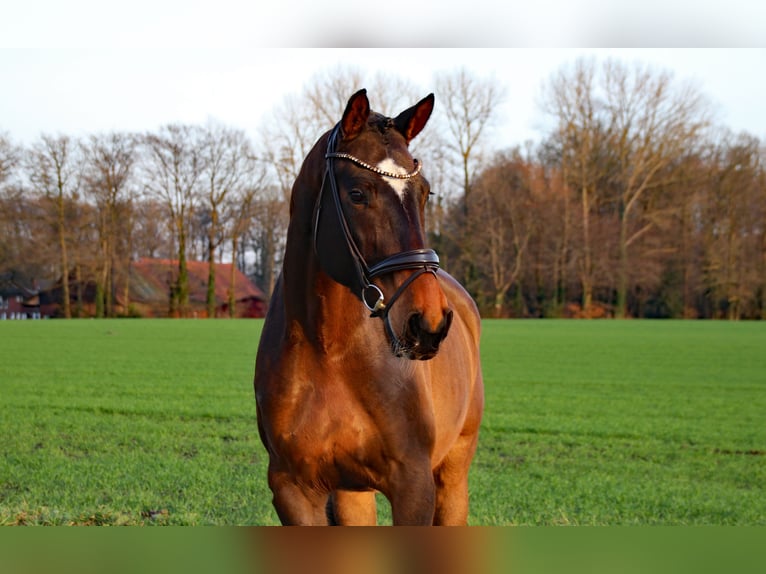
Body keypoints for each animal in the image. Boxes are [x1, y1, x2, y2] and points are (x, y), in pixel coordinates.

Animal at [254, 89, 484, 525]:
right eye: (358, 193)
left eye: (424, 192)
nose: (428, 322)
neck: (331, 351)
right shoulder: (293, 490)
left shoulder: (414, 486)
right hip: (351, 492)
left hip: (454, 473)